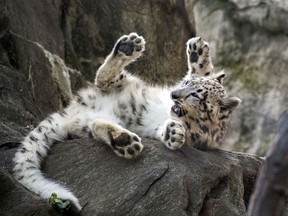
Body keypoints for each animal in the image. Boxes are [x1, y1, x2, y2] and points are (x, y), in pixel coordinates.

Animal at [12, 32, 241, 211]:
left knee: (96, 124)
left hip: (92, 123)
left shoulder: (197, 137)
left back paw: (124, 141)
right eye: (185, 82)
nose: (174, 94)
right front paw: (197, 51)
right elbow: (205, 72)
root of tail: (74, 109)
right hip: (122, 83)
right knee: (102, 78)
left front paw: (173, 133)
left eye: (195, 95)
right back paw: (127, 48)